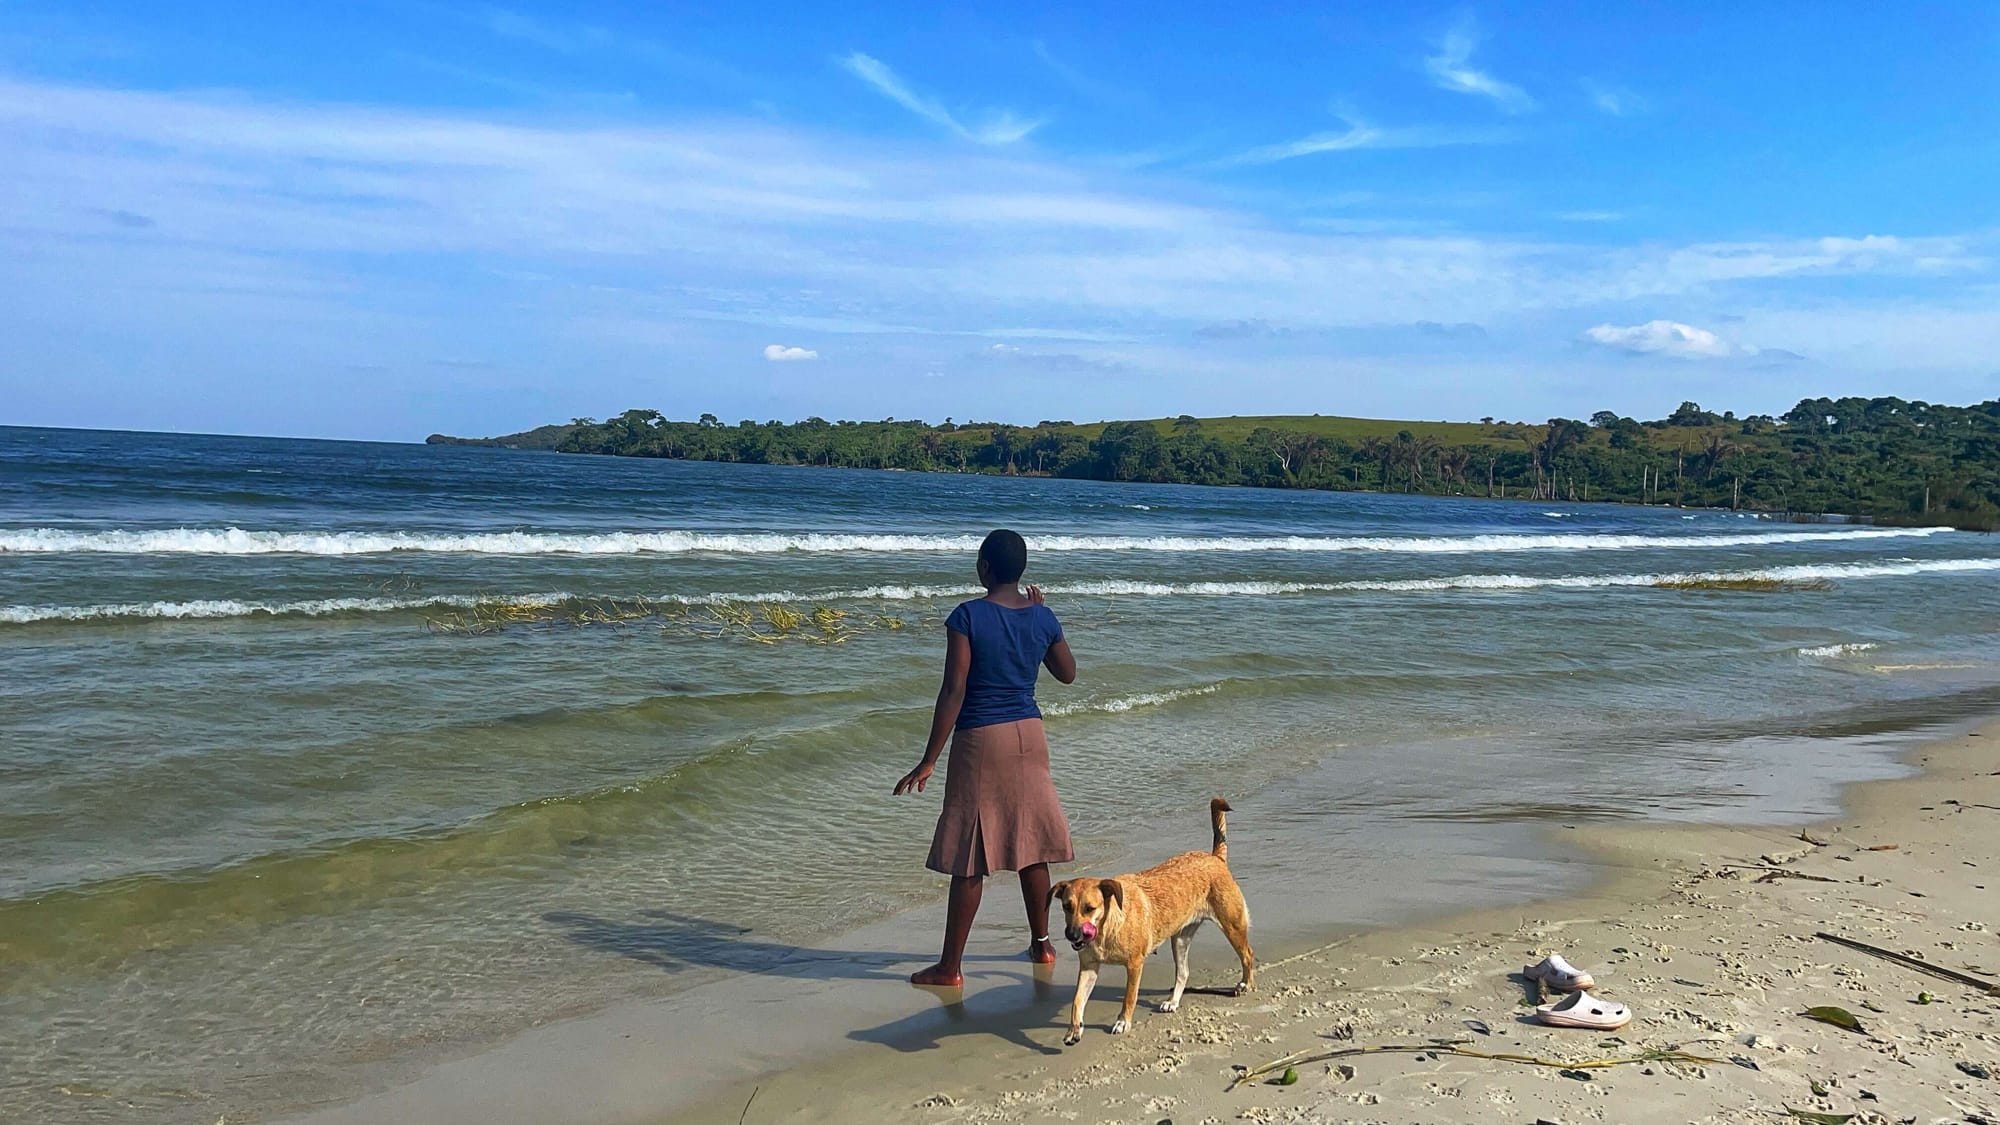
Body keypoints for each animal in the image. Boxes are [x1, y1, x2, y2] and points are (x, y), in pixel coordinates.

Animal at [1048, 796, 1248, 1040]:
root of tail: (1215, 858)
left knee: (1248, 956)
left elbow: (1129, 998)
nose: (1072, 934)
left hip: (1233, 926)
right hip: (1180, 940)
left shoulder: (1135, 965)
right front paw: (1074, 1028)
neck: (1108, 928)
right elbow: (1077, 1001)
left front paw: (1123, 1022)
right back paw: (1173, 1001)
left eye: (1090, 908)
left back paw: (1245, 985)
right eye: (1066, 907)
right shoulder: (1088, 968)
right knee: (1183, 973)